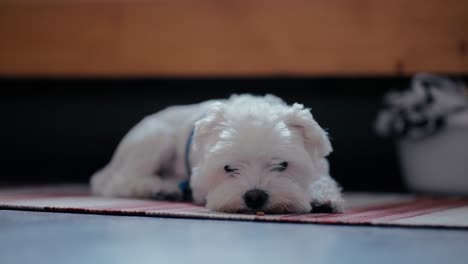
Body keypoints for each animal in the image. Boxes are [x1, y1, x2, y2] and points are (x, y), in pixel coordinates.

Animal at [89, 94, 344, 213]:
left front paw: (323, 198)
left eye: (282, 164)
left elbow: (322, 180)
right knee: (122, 181)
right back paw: (161, 188)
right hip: (155, 140)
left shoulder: (319, 166)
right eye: (228, 168)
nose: (255, 196)